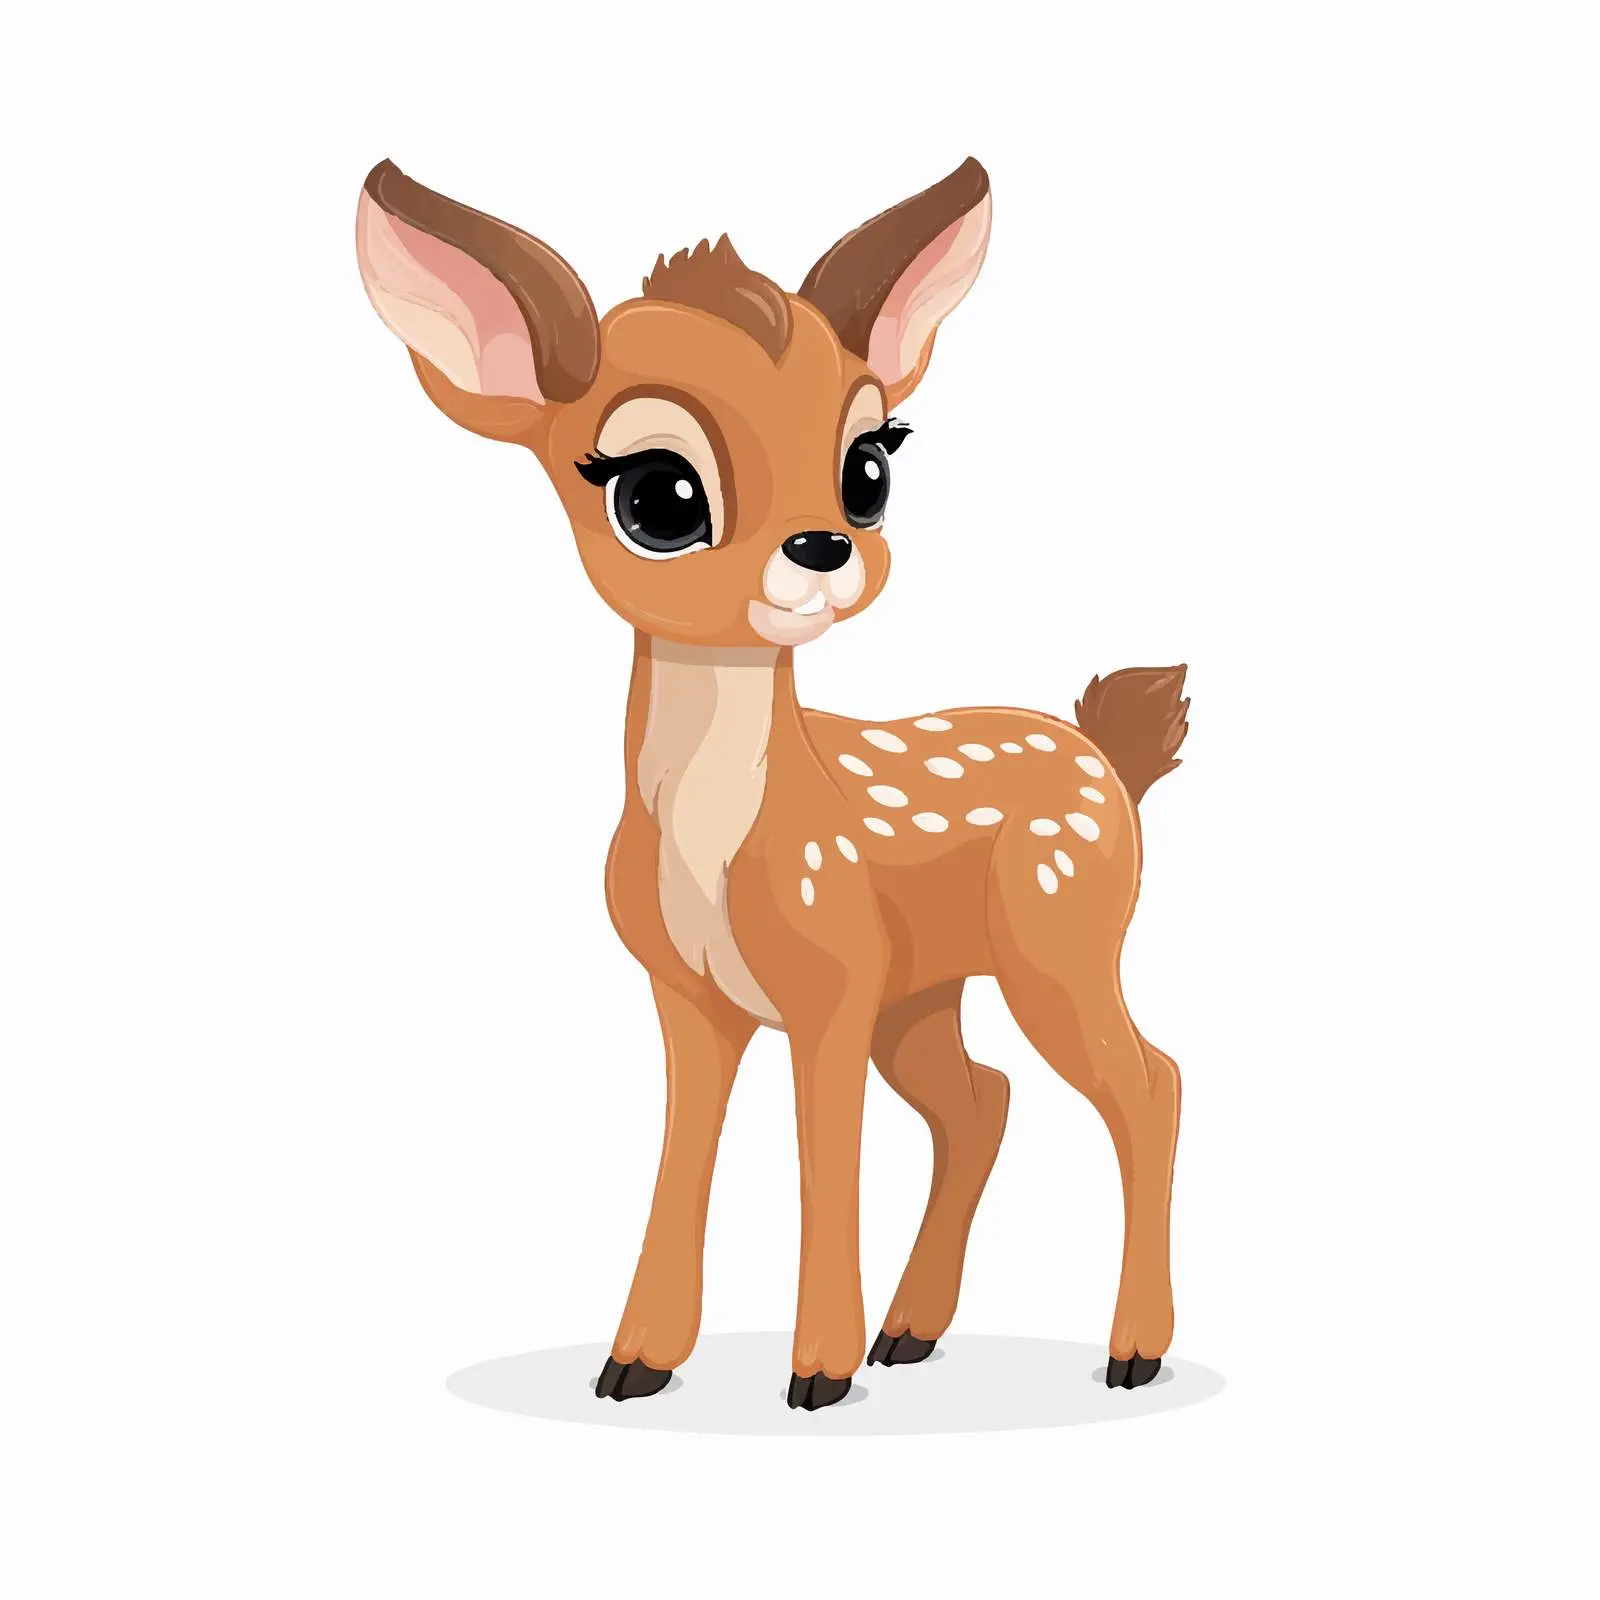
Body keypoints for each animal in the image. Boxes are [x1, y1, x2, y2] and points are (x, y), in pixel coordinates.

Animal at [356, 156, 1189, 1411]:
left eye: (869, 467)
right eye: (657, 495)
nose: (823, 547)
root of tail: (1107, 756)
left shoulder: (833, 979)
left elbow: (822, 1153)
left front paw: (816, 1375)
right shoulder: (690, 995)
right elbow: (684, 1152)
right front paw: (637, 1361)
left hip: (1060, 937)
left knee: (1149, 1084)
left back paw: (1130, 1353)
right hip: (929, 990)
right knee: (981, 1097)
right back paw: (912, 1332)